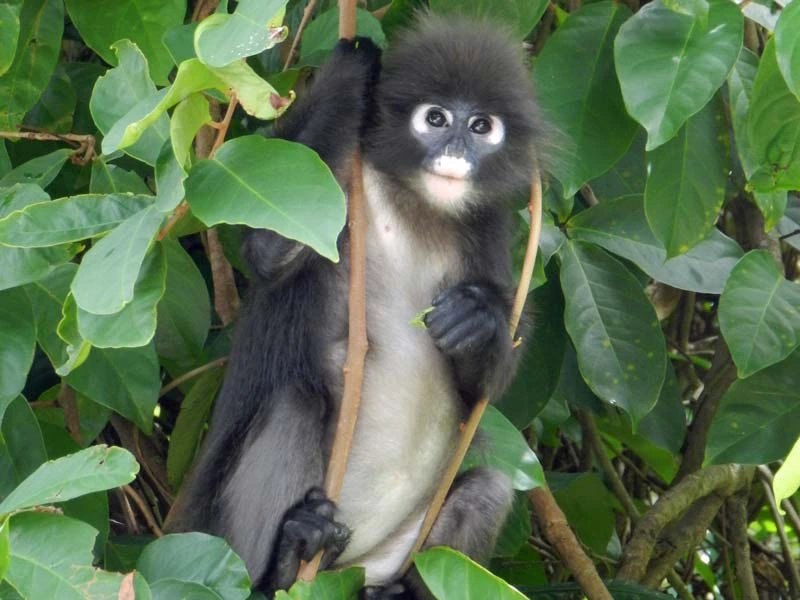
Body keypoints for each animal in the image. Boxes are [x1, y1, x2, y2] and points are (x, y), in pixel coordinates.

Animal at [171, 15, 541, 599]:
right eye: (436, 119)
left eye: (481, 125)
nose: (457, 151)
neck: (414, 201)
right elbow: (269, 252)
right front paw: (353, 69)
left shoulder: (488, 228)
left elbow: (485, 389)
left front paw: (479, 320)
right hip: (221, 543)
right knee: (293, 405)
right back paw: (284, 562)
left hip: (393, 553)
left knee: (490, 488)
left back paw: (393, 591)